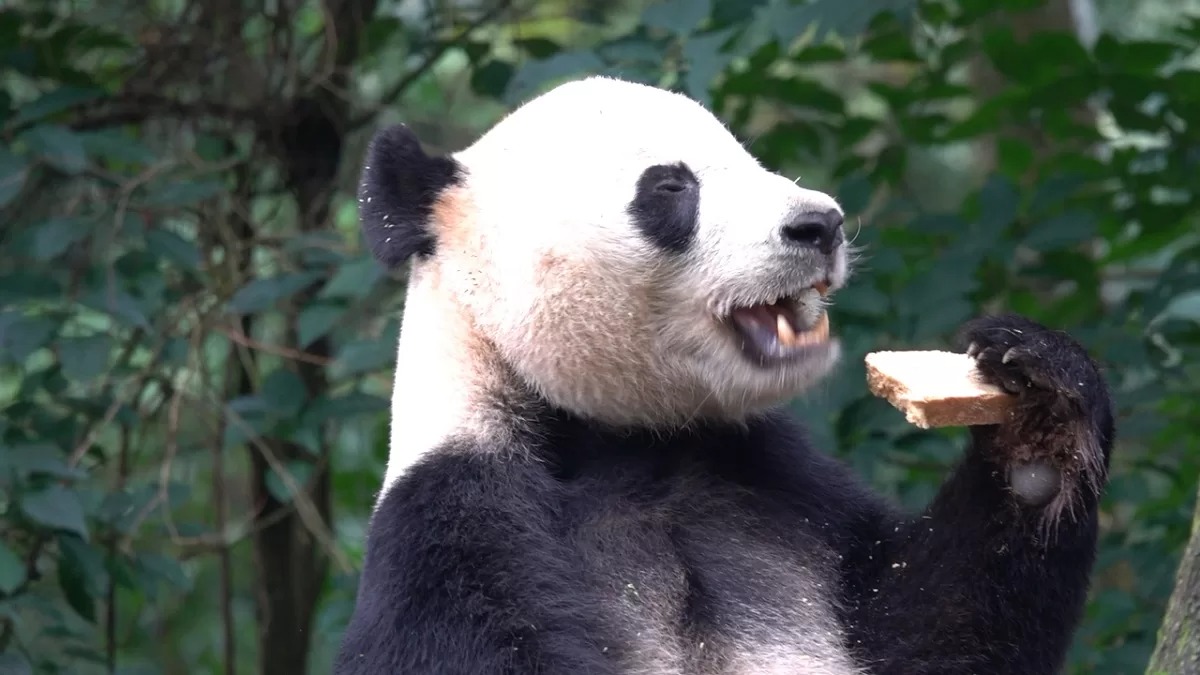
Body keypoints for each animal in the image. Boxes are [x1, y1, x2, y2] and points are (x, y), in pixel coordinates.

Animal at [334, 76, 1114, 675]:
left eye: (752, 159)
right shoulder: (453, 534)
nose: (820, 225)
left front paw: (1040, 412)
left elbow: (932, 628)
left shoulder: (777, 490)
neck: (622, 439)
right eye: (671, 187)